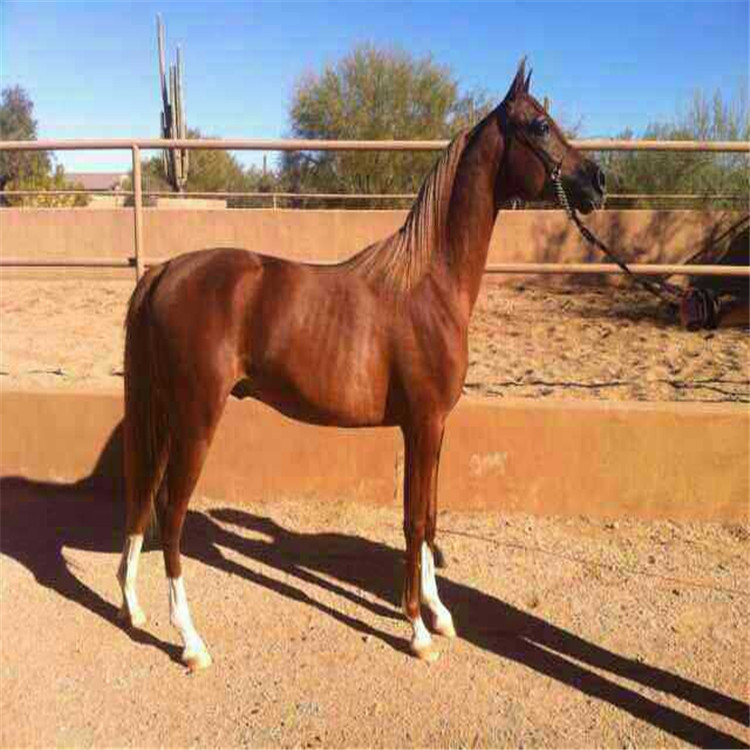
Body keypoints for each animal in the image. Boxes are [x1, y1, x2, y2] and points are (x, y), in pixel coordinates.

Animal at [117, 59, 606, 669]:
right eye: (539, 125)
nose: (598, 181)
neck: (429, 284)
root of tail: (164, 271)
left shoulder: (436, 429)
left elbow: (432, 515)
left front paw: (440, 614)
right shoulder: (422, 425)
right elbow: (414, 521)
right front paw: (417, 630)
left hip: (165, 415)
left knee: (142, 495)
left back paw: (133, 609)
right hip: (195, 419)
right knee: (171, 509)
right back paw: (190, 641)